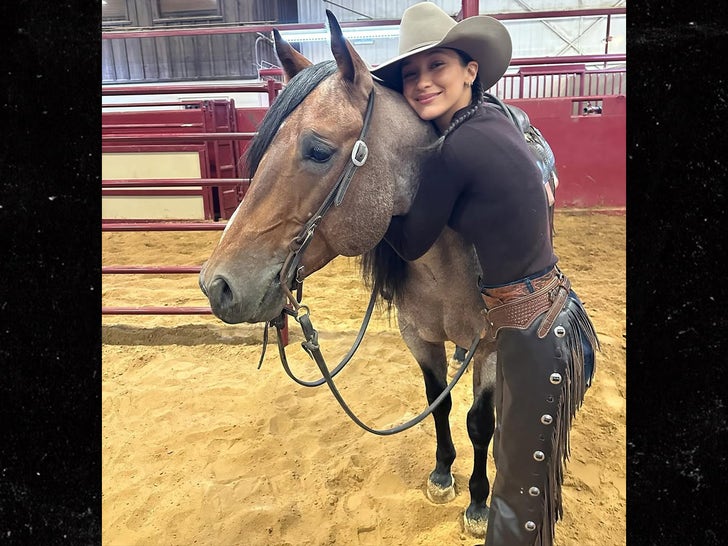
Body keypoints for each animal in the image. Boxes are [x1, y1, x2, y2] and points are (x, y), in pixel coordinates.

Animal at [199, 11, 497, 537]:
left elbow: (481, 422)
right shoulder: (419, 336)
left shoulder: (492, 347)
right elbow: (436, 399)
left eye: (317, 150)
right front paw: (442, 473)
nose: (217, 285)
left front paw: (479, 504)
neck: (449, 264)